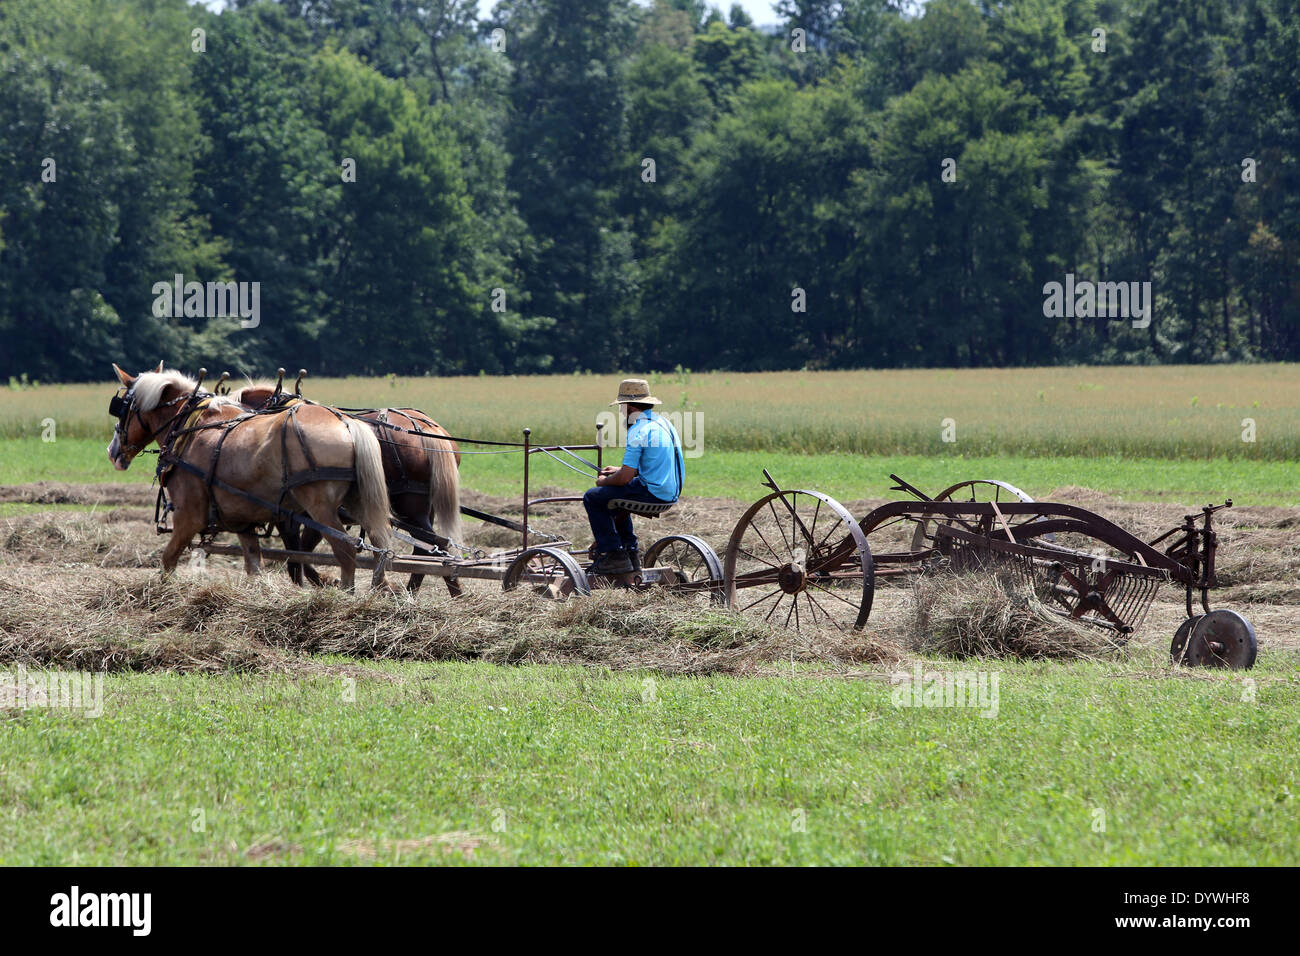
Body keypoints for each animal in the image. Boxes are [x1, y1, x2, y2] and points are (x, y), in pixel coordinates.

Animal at [108, 364, 392, 590]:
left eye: (122, 408)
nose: (112, 452)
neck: (190, 427)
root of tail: (346, 422)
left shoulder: (188, 516)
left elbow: (168, 560)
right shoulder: (242, 522)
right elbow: (255, 565)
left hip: (320, 508)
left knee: (346, 551)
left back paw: (346, 595)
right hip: (358, 501)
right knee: (379, 545)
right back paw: (380, 591)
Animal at [232, 379, 462, 590]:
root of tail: (425, 427)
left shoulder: (295, 516)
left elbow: (298, 555)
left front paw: (322, 581)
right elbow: (305, 552)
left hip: (411, 506)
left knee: (432, 545)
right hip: (424, 507)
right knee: (433, 545)